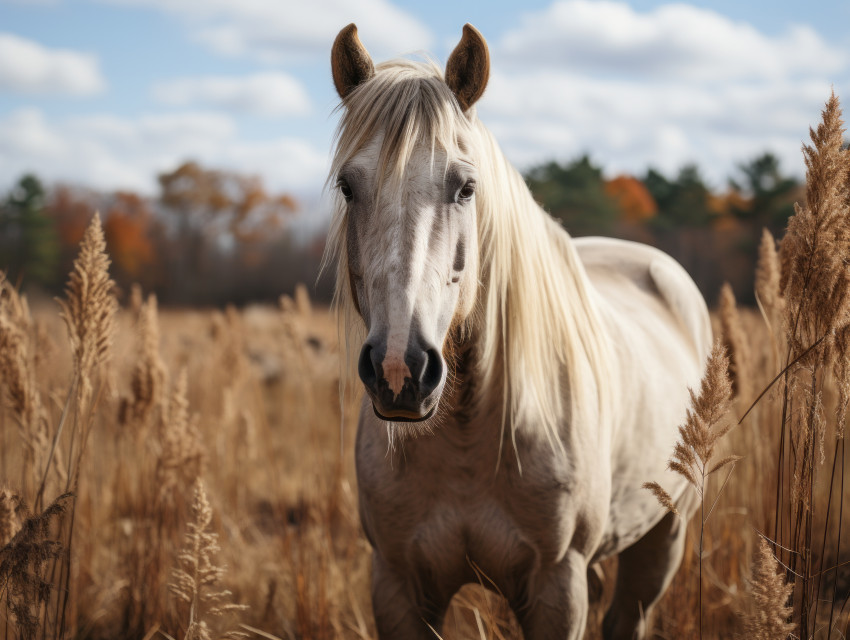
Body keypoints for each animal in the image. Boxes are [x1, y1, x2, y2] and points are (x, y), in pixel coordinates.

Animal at [325, 22, 710, 639]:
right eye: (347, 186)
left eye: (465, 187)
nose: (399, 370)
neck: (467, 437)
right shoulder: (398, 586)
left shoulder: (557, 589)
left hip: (662, 538)